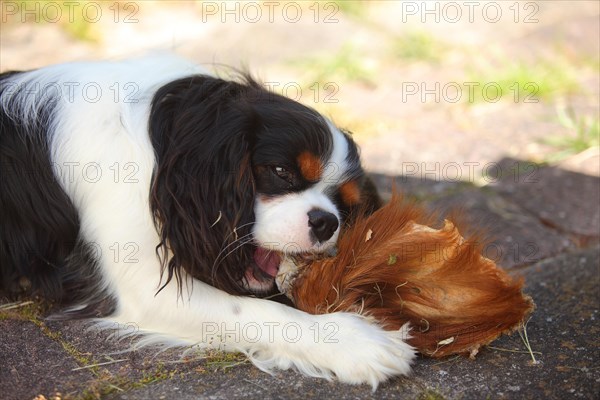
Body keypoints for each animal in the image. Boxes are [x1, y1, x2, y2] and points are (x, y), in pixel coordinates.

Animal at [0, 54, 414, 390]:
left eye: (344, 204)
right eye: (280, 171)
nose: (326, 222)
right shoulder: (147, 291)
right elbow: (258, 311)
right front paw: (355, 341)